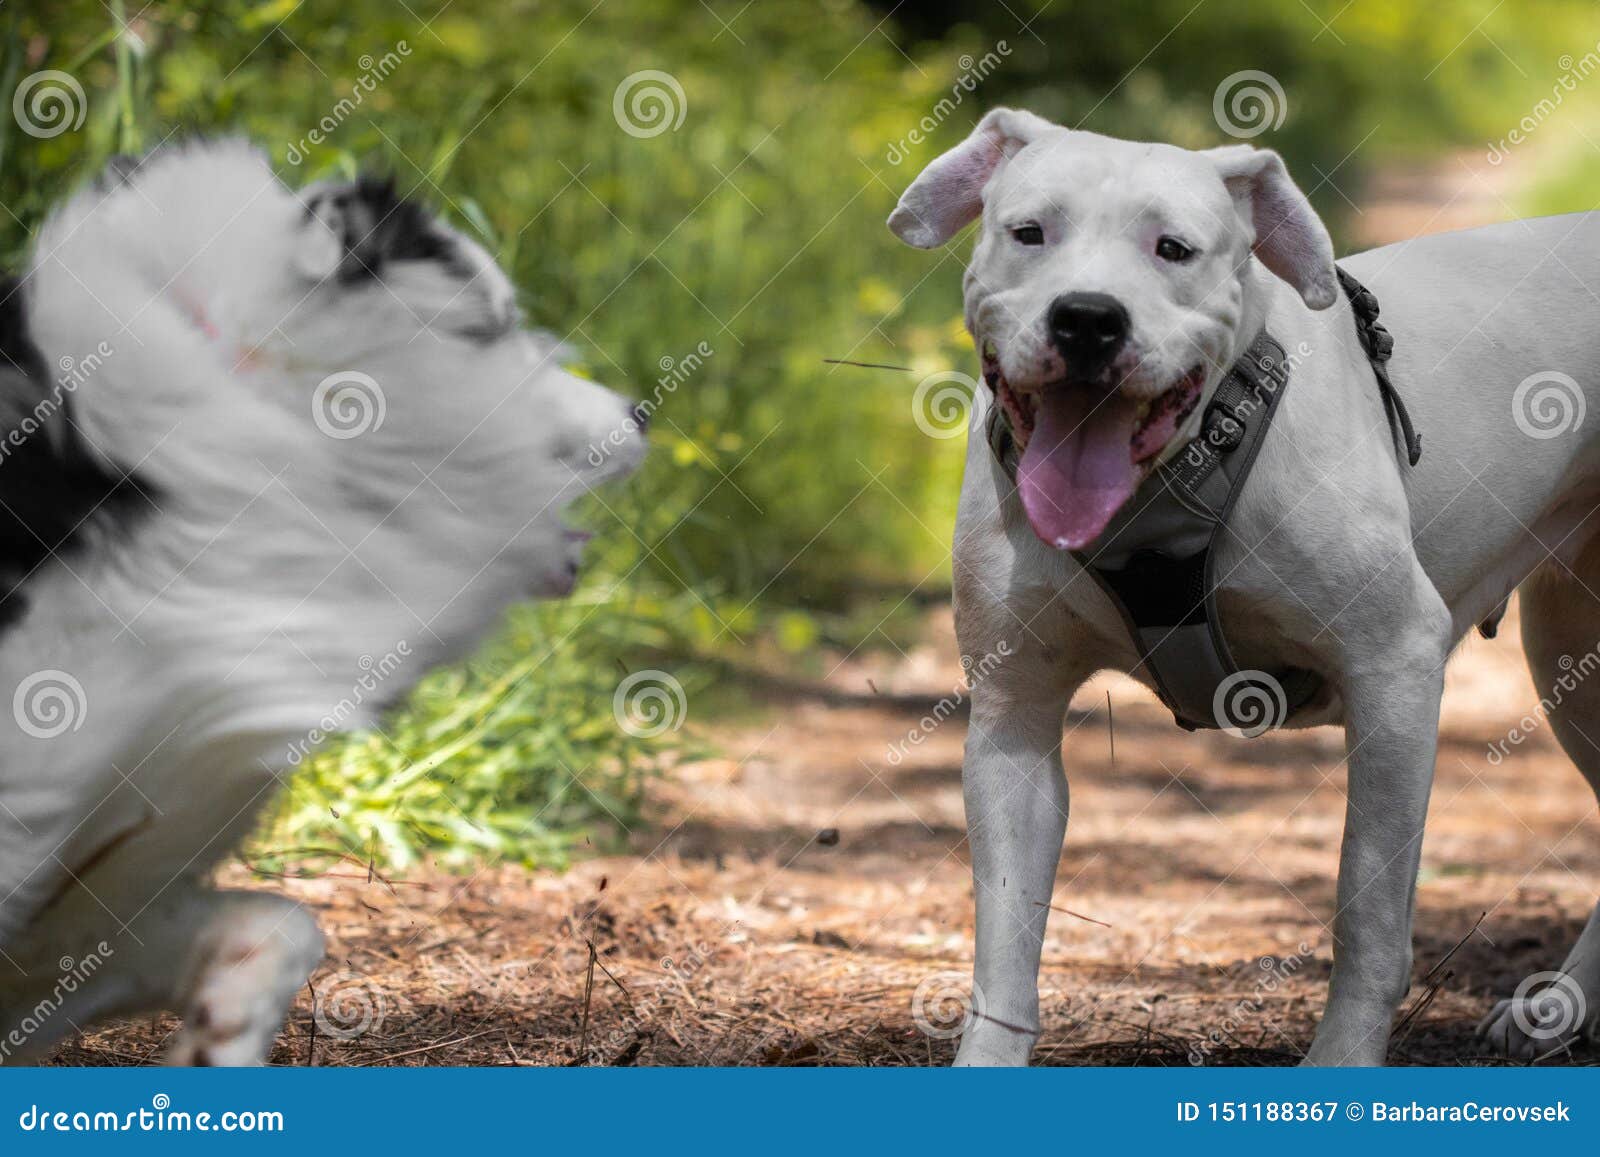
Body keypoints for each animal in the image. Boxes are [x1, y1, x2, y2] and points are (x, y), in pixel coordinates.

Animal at [889, 108, 1600, 1068]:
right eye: (1029, 231)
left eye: (1174, 249)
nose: (1086, 318)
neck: (1170, 482)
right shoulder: (1014, 718)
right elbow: (1005, 935)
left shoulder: (1394, 667)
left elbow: (1367, 907)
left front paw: (1341, 1064)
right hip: (1570, 648)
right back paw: (1558, 1005)